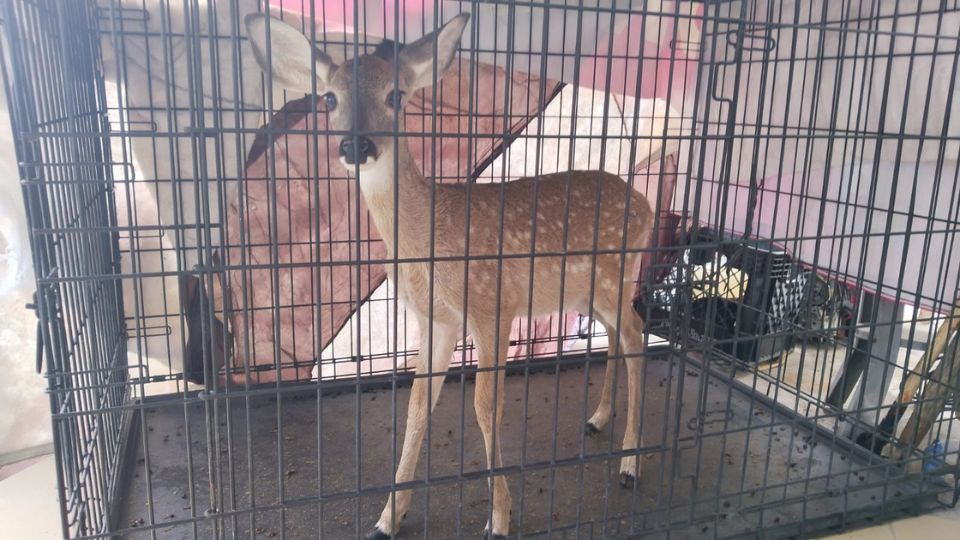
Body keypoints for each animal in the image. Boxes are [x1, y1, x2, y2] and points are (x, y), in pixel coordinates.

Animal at [244, 10, 656, 536]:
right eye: (330, 99)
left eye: (396, 95)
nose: (356, 144)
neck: (427, 242)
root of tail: (645, 204)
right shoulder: (435, 319)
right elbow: (418, 405)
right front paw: (387, 517)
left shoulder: (490, 305)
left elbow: (485, 407)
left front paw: (498, 518)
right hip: (588, 290)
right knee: (616, 337)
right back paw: (599, 417)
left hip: (611, 277)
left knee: (637, 337)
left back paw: (630, 463)